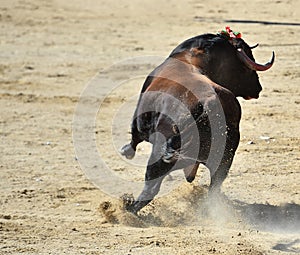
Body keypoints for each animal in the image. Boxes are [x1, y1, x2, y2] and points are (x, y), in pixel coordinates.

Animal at [119, 28, 274, 214]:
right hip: (223, 159)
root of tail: (209, 104)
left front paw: (126, 150)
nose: (258, 87)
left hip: (159, 156)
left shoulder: (139, 120)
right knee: (214, 186)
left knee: (151, 186)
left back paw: (128, 209)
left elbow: (134, 137)